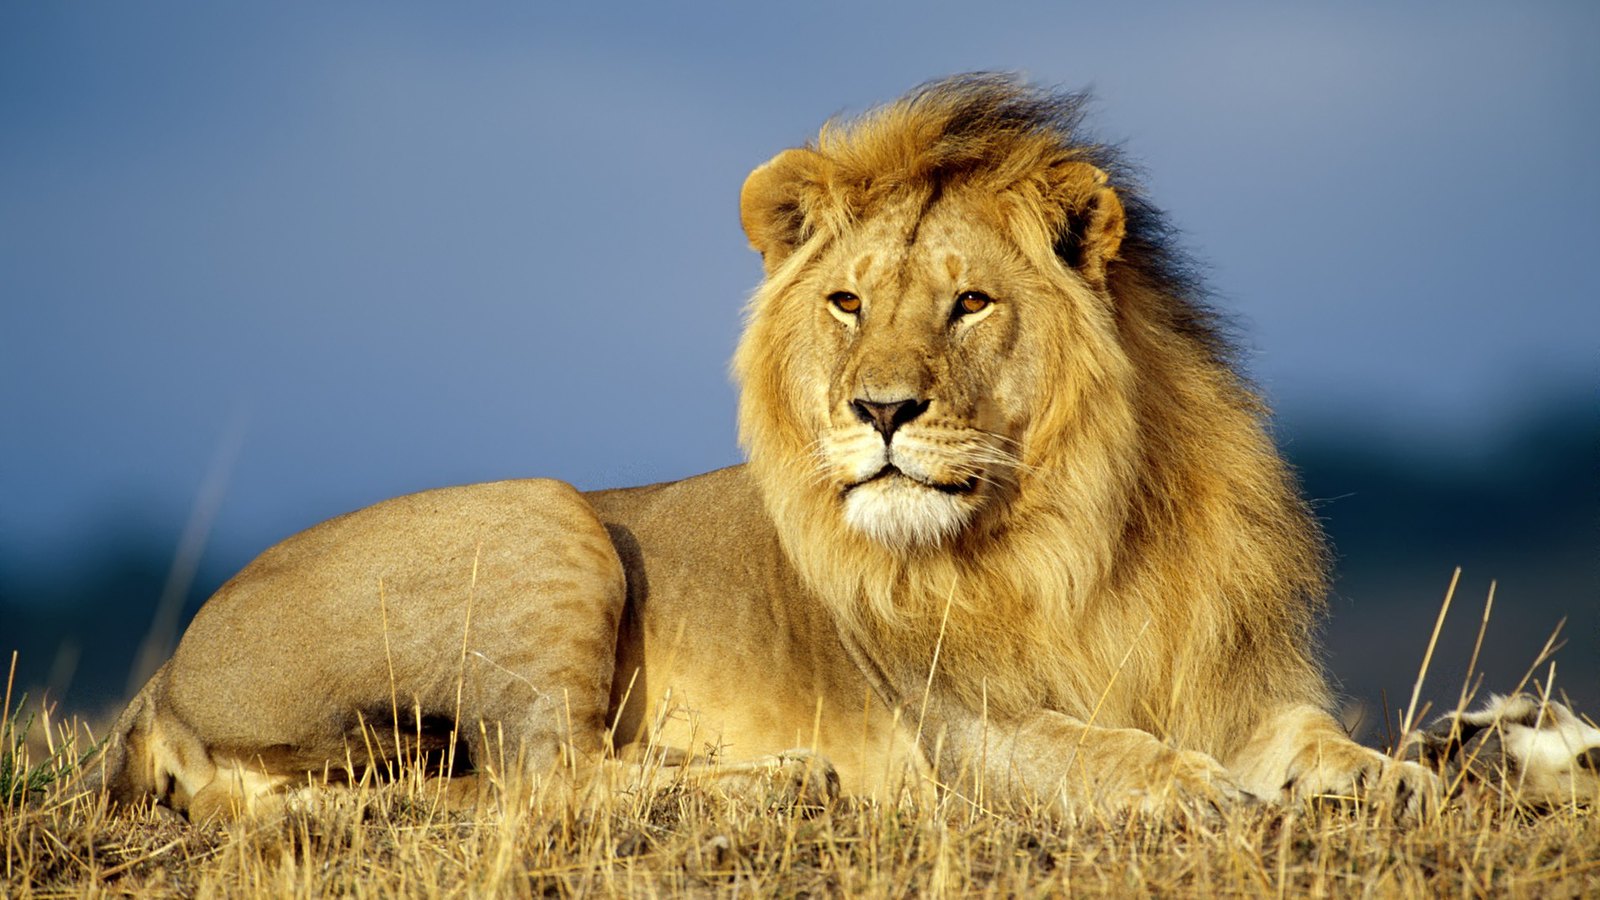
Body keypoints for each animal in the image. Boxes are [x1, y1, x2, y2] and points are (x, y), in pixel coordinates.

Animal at [90, 74, 1435, 822]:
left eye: (969, 304)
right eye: (846, 303)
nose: (879, 411)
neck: (1079, 528)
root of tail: (160, 678)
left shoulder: (1231, 678)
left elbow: (1310, 739)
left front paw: (1399, 778)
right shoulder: (960, 730)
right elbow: (1097, 750)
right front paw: (1192, 788)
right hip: (546, 515)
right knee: (545, 778)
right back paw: (780, 782)